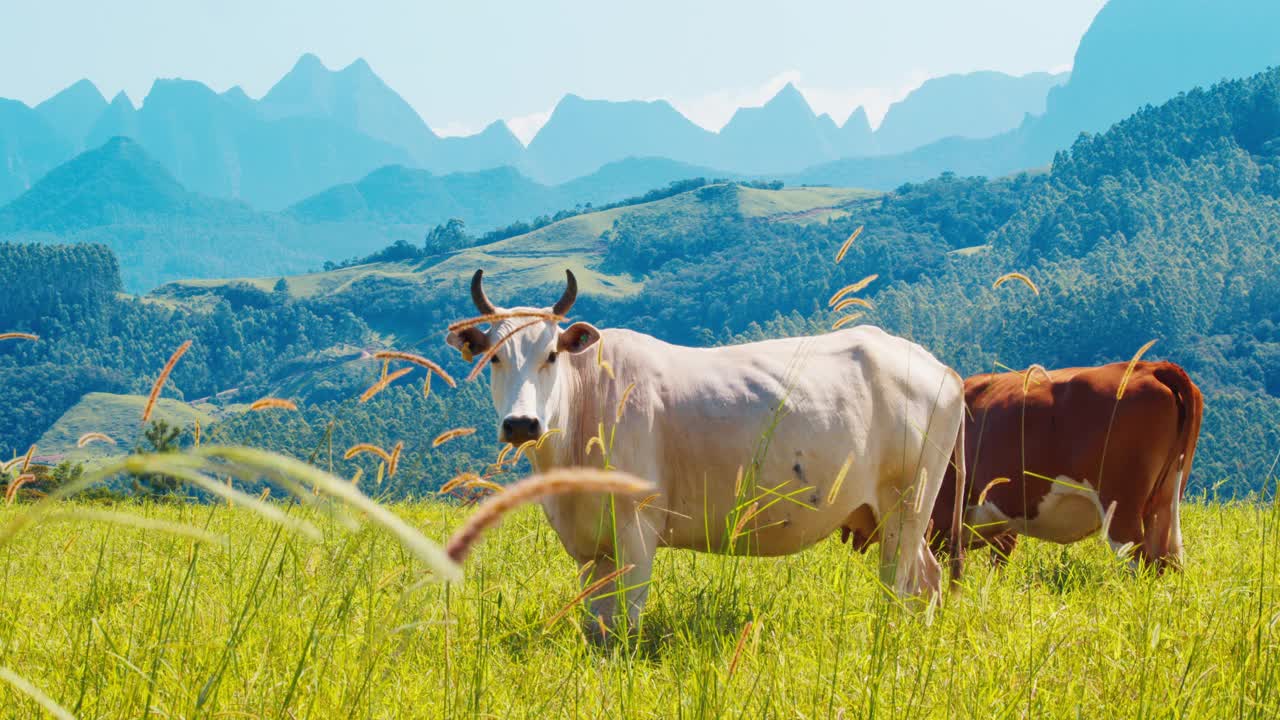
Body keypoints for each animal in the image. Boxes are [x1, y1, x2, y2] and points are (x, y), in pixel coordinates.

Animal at [445, 267, 962, 627]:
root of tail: (936, 367)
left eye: (551, 355)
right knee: (929, 579)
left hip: (906, 507)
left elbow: (627, 621)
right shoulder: (590, 548)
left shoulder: (637, 529)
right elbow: (597, 626)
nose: (521, 424)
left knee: (902, 586)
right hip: (888, 514)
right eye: (494, 357)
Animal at [844, 358, 1203, 571]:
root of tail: (1149, 366)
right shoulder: (1000, 530)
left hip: (1122, 508)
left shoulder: (942, 518)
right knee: (1166, 562)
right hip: (1165, 501)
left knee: (1141, 561)